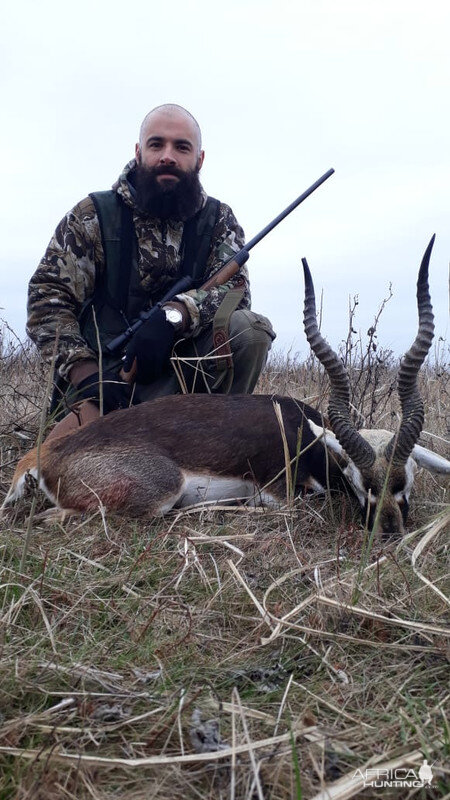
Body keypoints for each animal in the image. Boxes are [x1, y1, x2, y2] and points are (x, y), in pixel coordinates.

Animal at [1, 238, 448, 532]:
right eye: (357, 480)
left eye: (404, 480)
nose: (388, 530)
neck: (302, 434)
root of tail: (45, 456)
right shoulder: (278, 493)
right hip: (161, 490)